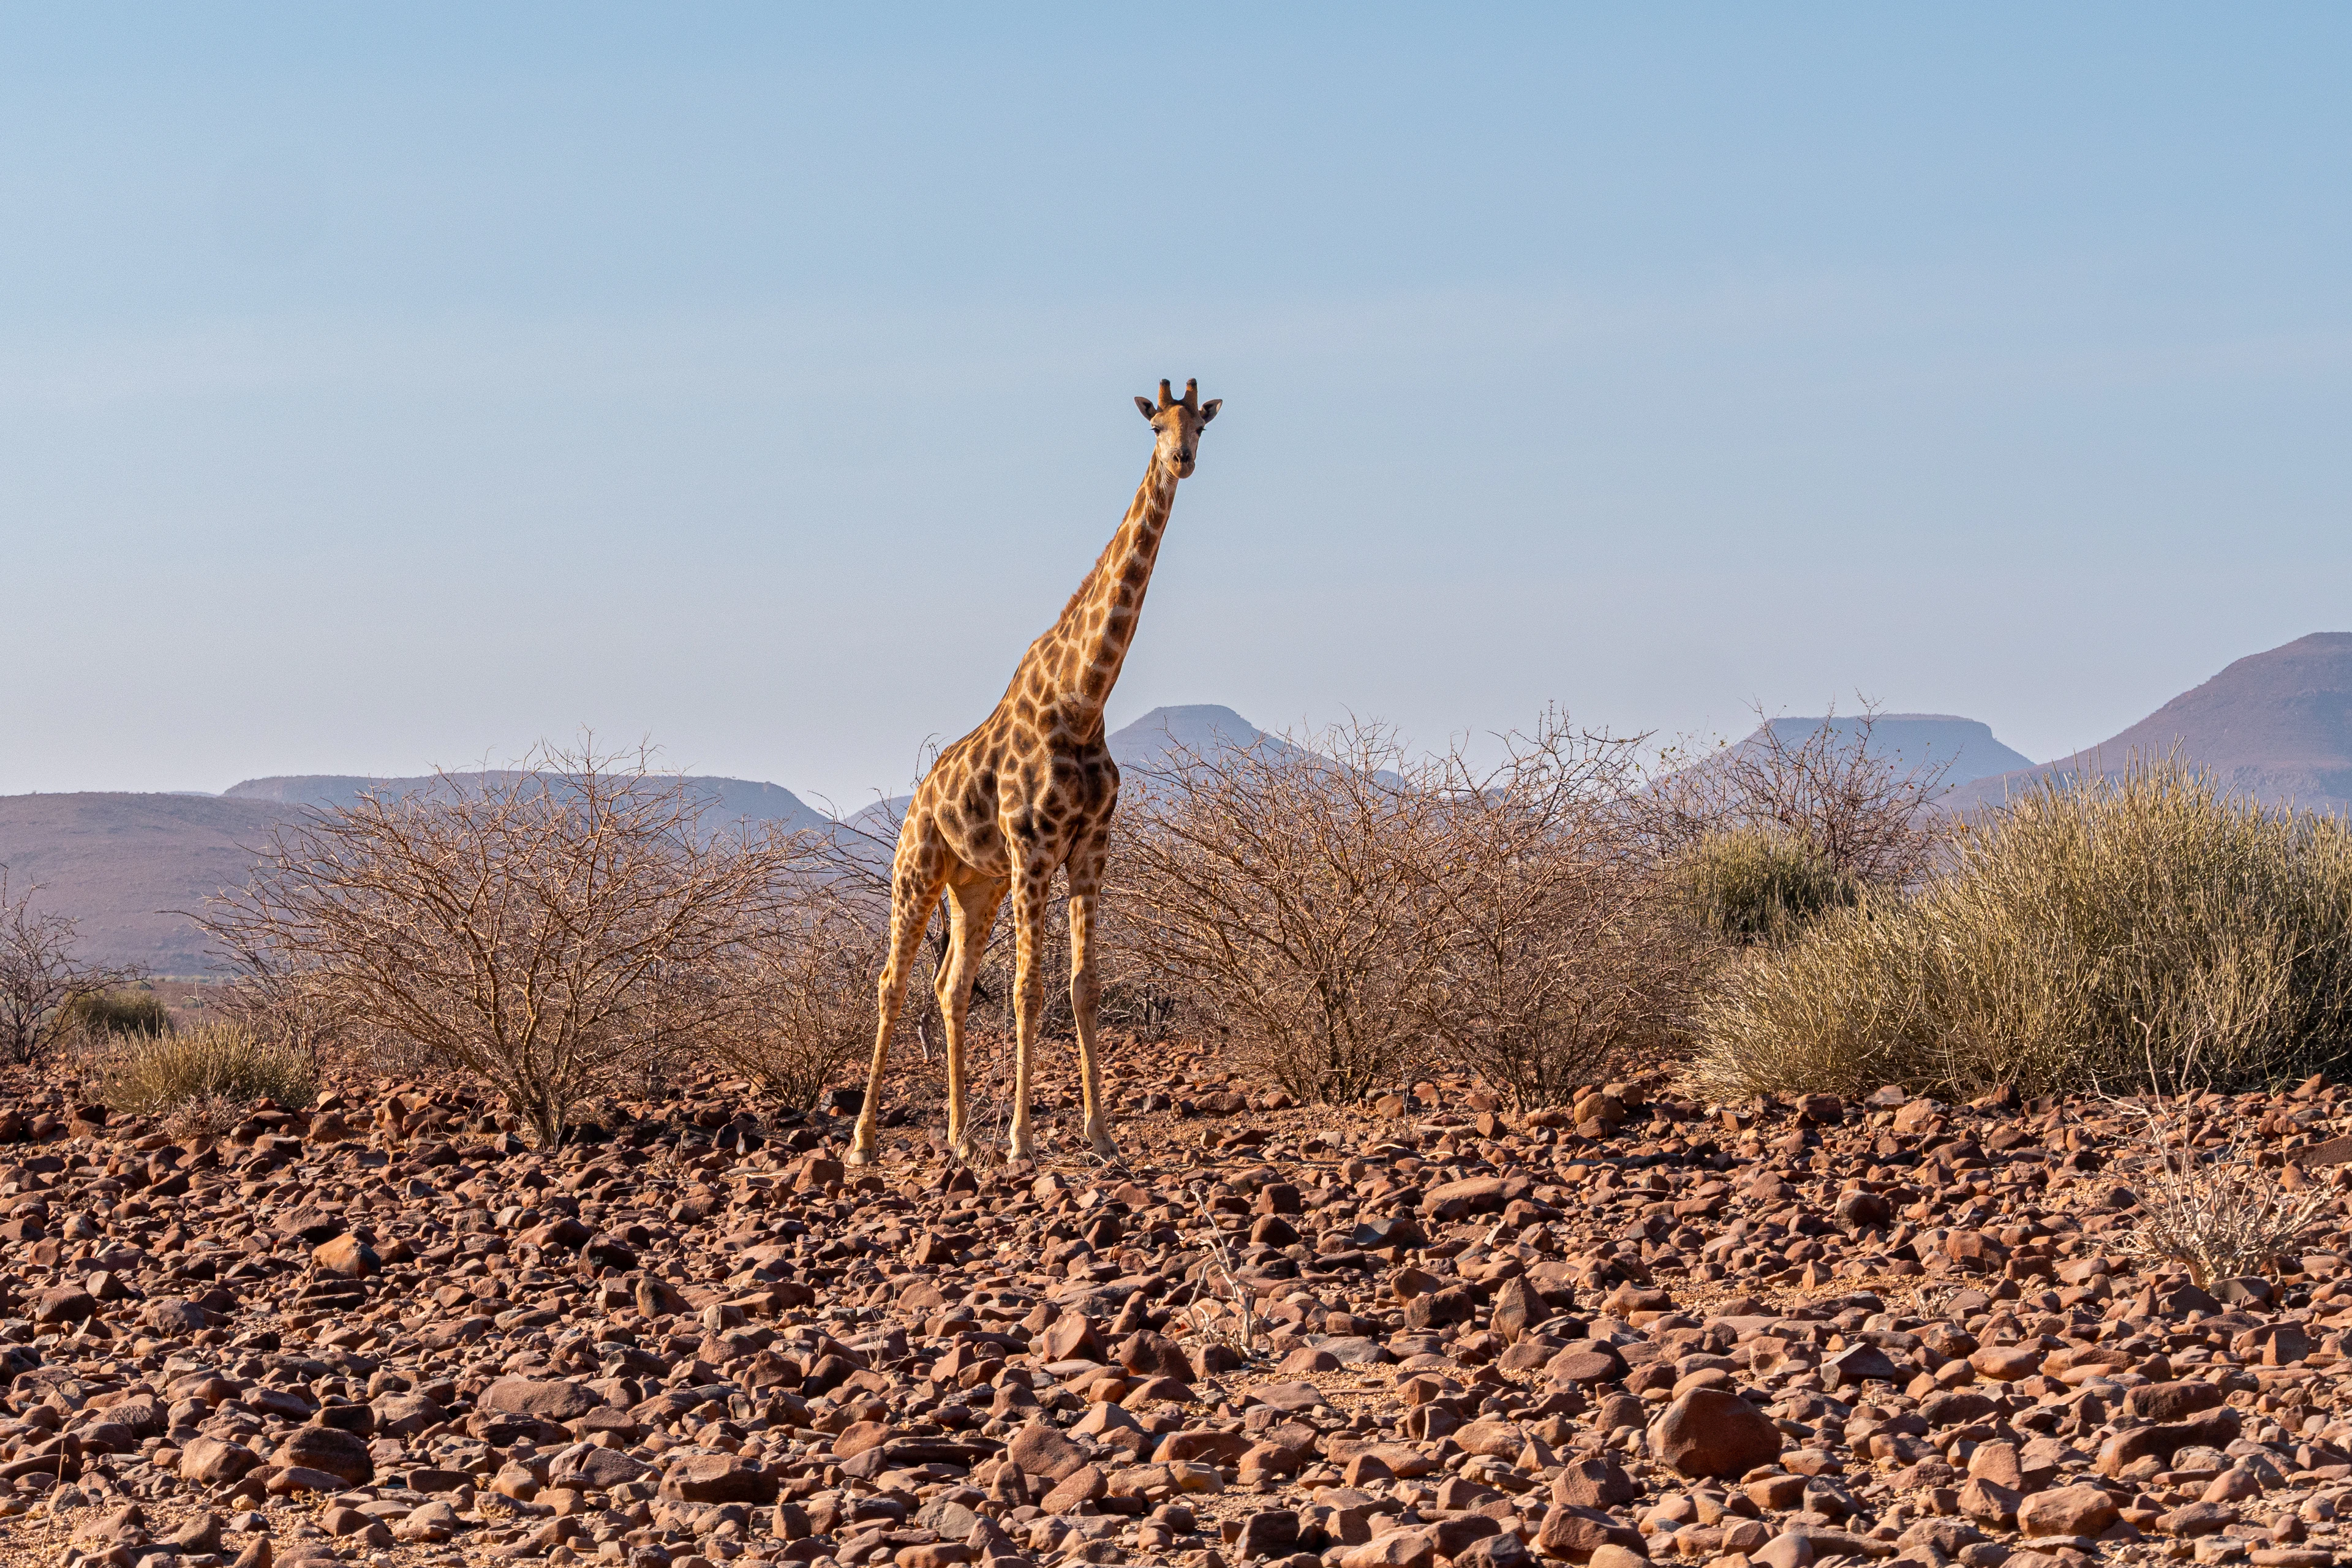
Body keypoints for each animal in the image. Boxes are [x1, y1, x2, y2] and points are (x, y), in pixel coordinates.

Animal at [846, 378, 1221, 1166]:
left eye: (1201, 424)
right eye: (1155, 425)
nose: (1182, 460)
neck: (1082, 700)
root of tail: (918, 800)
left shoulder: (1090, 848)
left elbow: (1083, 986)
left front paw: (1102, 1136)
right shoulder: (1034, 849)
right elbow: (1028, 989)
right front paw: (1022, 1140)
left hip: (974, 887)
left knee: (950, 985)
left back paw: (959, 1136)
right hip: (918, 870)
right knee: (893, 981)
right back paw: (863, 1143)